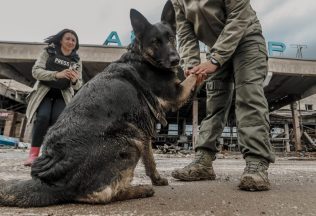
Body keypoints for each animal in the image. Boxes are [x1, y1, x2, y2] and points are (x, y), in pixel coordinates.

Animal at [0, 0, 196, 208]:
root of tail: (51, 183)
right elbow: (194, 77)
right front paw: (204, 67)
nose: (176, 60)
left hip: (135, 134)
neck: (142, 57)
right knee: (101, 195)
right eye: (155, 41)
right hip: (130, 138)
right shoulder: (175, 94)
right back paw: (139, 190)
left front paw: (157, 179)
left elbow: (150, 159)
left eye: (171, 38)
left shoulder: (145, 130)